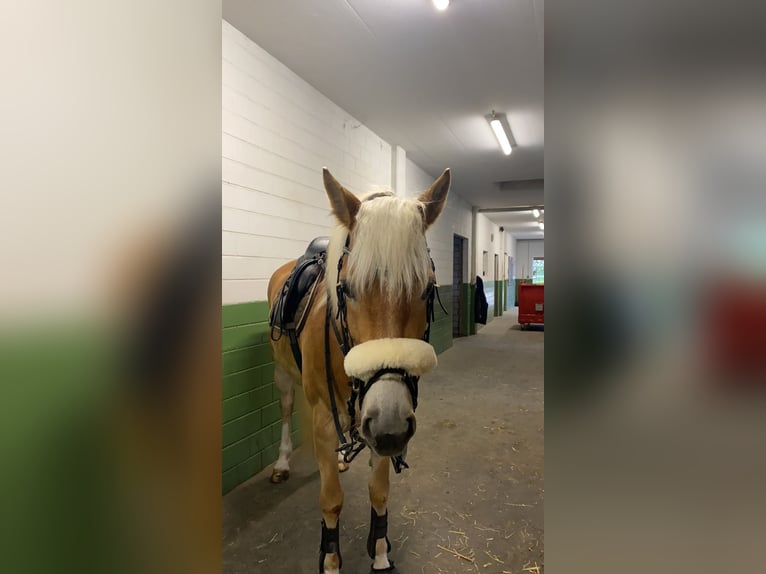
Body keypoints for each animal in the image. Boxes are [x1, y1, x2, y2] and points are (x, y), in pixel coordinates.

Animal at [268, 168, 452, 574]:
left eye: (427, 289)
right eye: (347, 289)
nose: (389, 426)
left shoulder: (378, 418)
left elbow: (379, 491)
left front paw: (380, 553)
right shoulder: (328, 415)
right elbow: (331, 499)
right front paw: (331, 560)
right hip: (283, 373)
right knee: (286, 410)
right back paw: (283, 463)